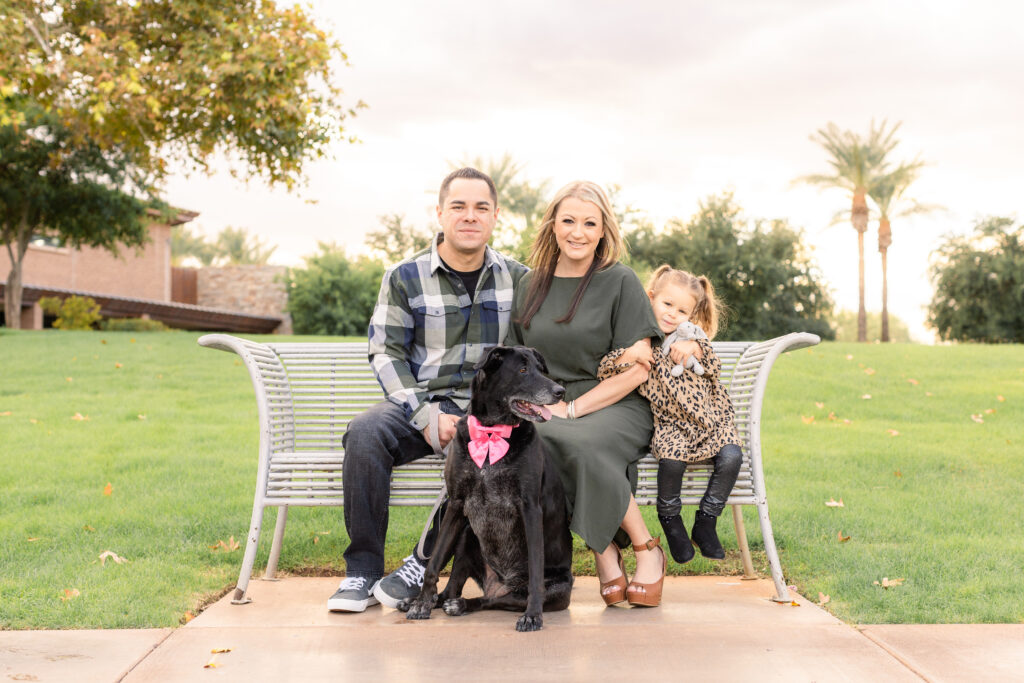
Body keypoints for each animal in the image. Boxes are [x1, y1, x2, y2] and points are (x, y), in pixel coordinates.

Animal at [399, 344, 577, 634]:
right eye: (523, 370)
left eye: (541, 369)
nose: (560, 391)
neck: (492, 433)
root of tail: (499, 582)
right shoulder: (457, 503)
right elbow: (433, 563)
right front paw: (421, 603)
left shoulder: (530, 508)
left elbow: (536, 571)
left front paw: (533, 616)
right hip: (466, 535)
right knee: (452, 590)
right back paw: (425, 601)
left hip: (555, 589)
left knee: (492, 600)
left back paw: (463, 605)